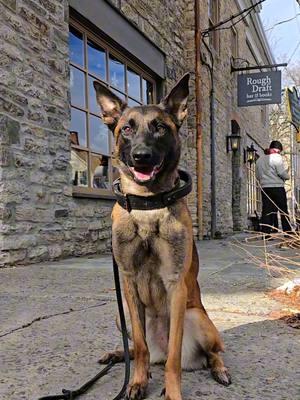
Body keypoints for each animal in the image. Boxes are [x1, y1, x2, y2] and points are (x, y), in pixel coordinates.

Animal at [94, 74, 230, 400]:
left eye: (160, 127)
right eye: (127, 128)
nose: (142, 156)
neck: (148, 205)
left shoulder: (175, 284)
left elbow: (173, 358)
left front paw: (172, 392)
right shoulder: (128, 283)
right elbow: (141, 348)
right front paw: (137, 381)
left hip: (197, 317)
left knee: (211, 353)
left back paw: (219, 369)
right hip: (121, 313)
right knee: (139, 348)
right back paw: (119, 354)